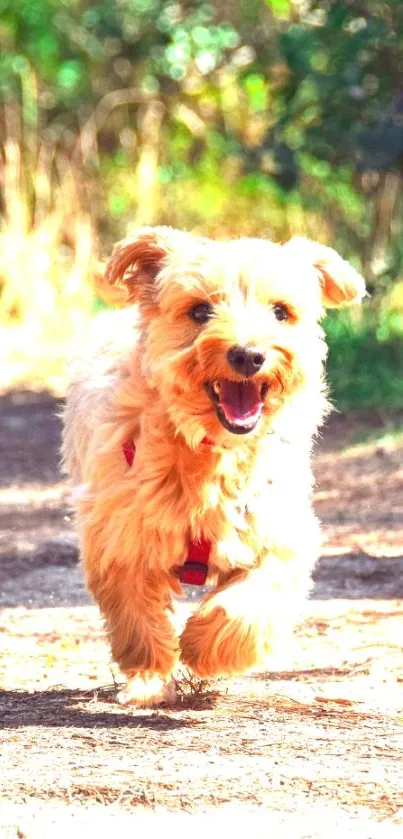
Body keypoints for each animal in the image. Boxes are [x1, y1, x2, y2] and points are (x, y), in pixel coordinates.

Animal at [61, 226, 368, 704]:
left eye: (280, 312)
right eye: (199, 311)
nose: (248, 355)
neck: (211, 453)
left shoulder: (279, 533)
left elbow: (250, 604)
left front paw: (204, 646)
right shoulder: (120, 533)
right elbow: (137, 614)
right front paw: (151, 672)